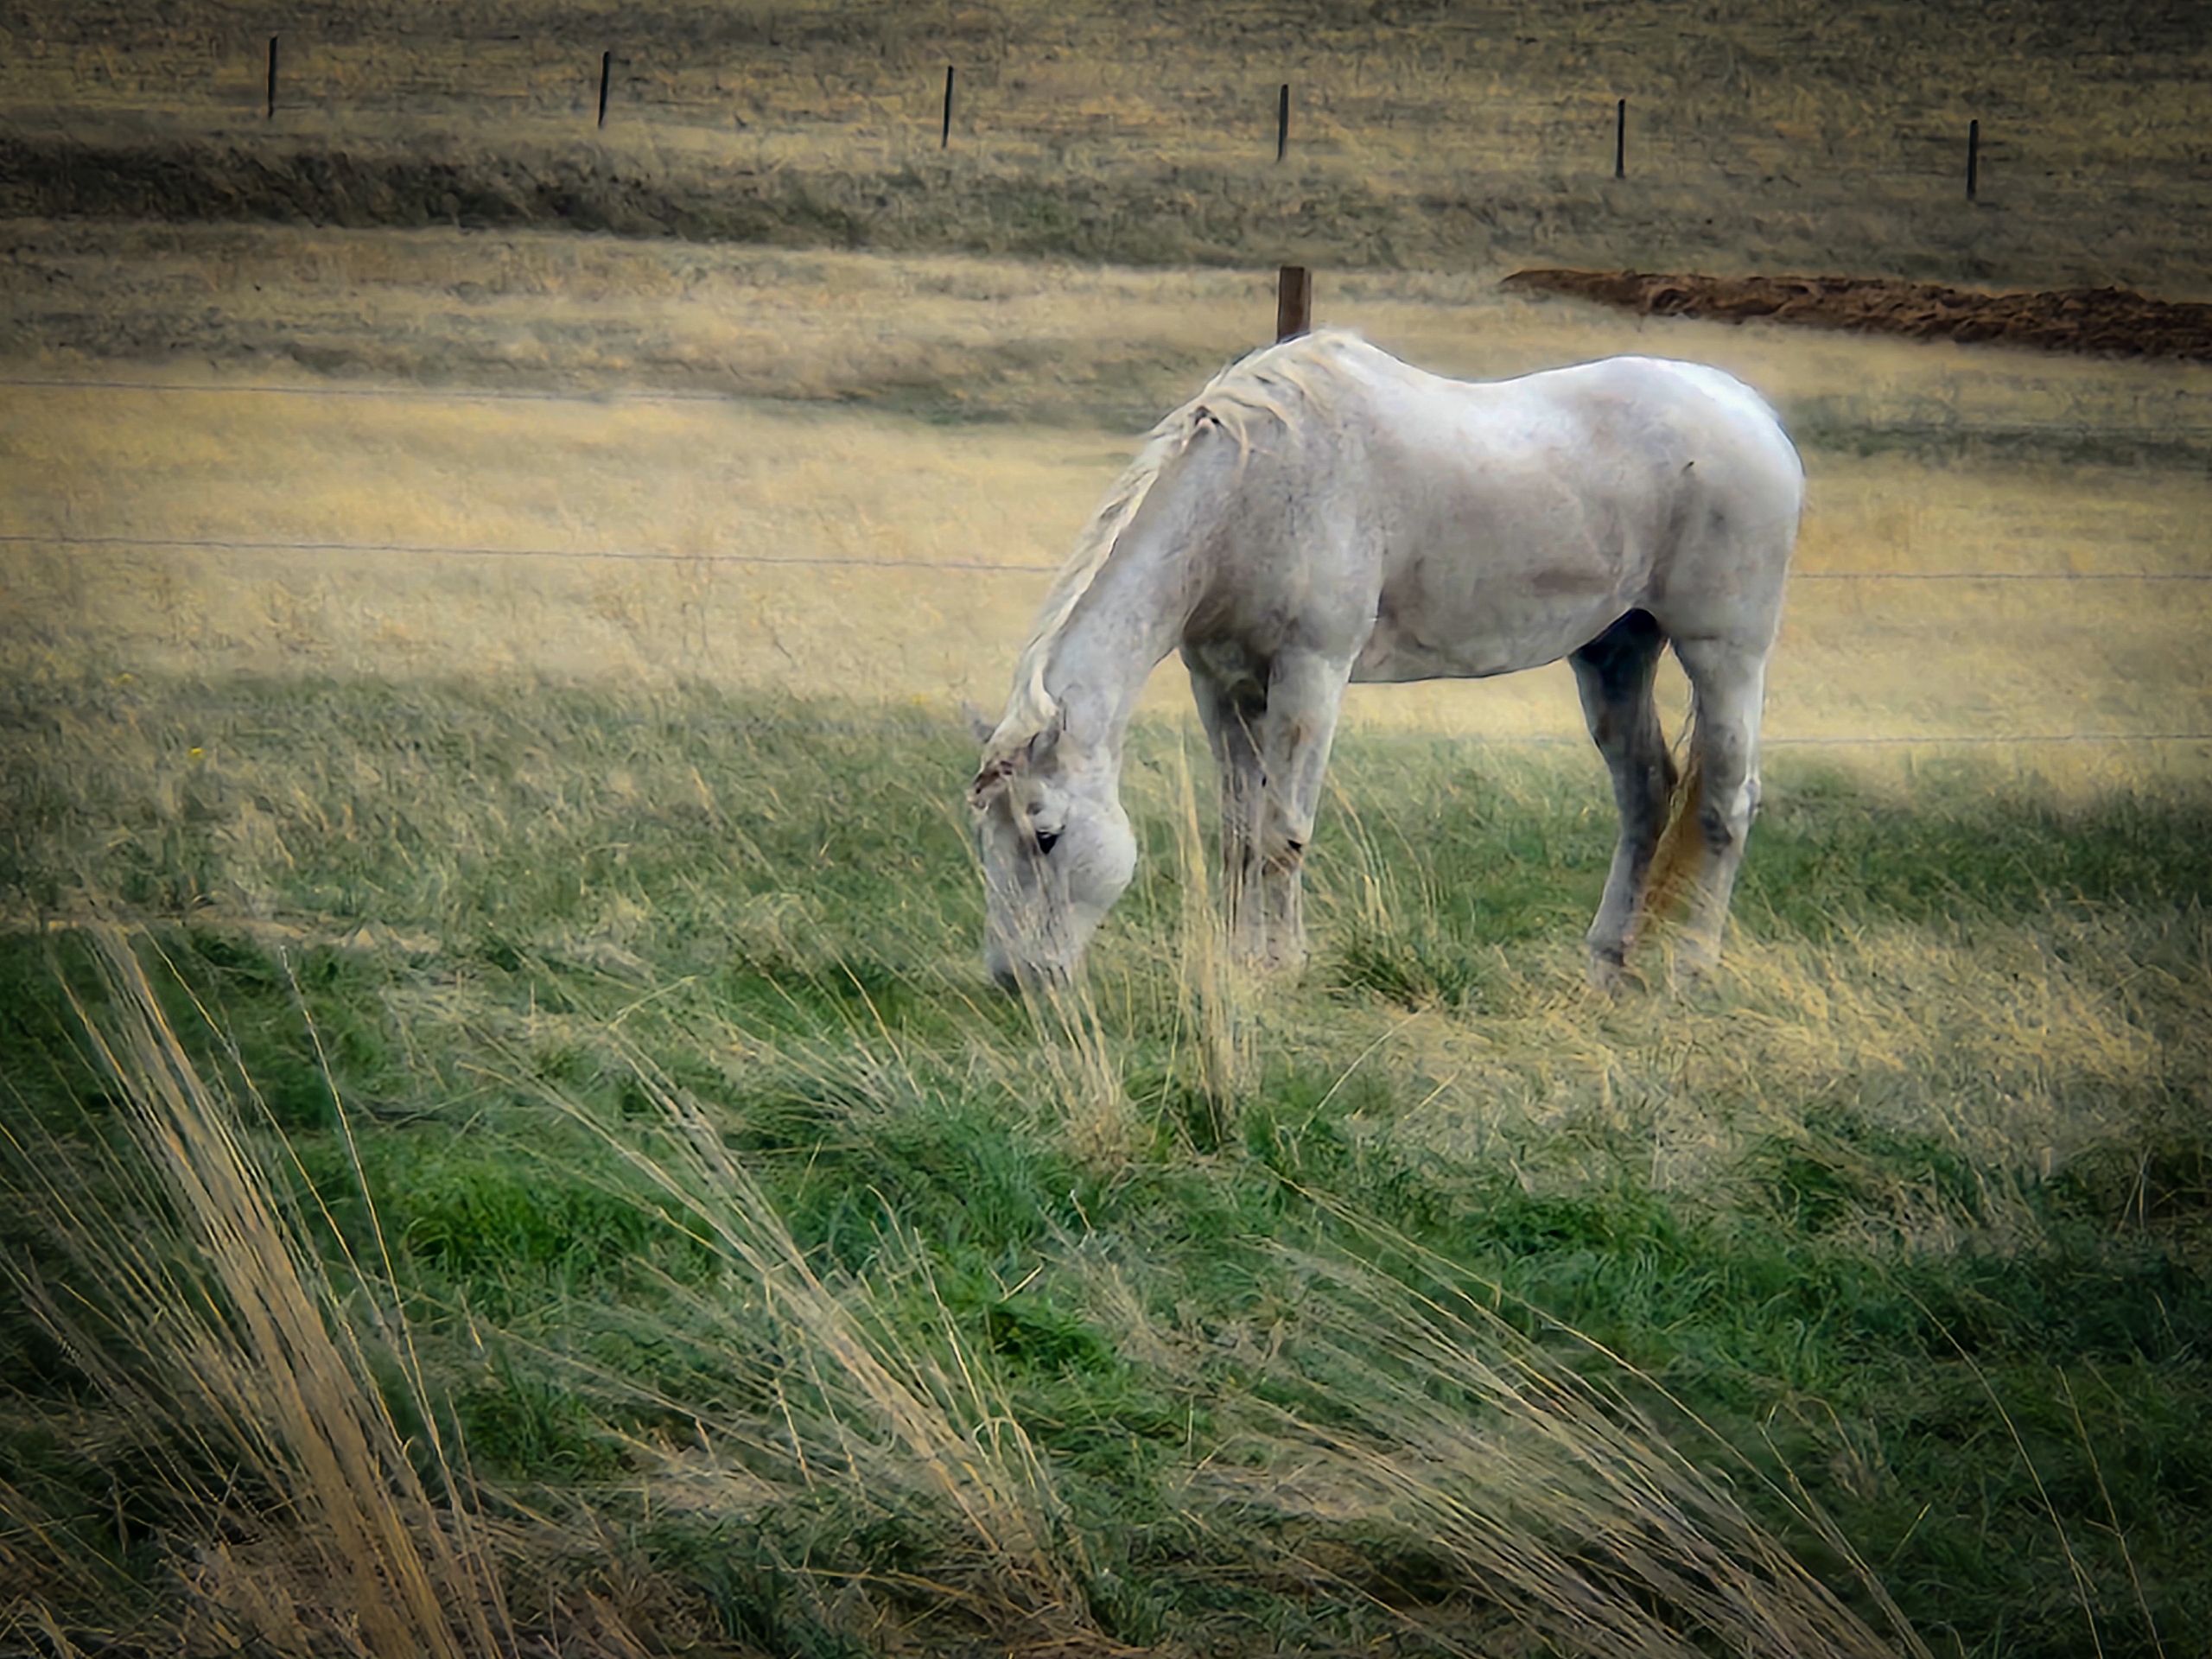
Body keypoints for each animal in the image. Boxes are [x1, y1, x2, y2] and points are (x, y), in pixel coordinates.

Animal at [968, 329, 1804, 993]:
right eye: (985, 837)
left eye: (1046, 835)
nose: (1017, 979)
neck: (1252, 490)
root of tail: (1750, 412)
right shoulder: (1222, 687)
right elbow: (1240, 835)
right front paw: (1242, 964)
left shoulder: (1311, 673)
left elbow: (1282, 833)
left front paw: (1279, 968)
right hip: (1615, 655)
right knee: (1645, 796)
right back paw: (1607, 963)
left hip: (1725, 655)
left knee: (1725, 804)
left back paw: (1691, 969)